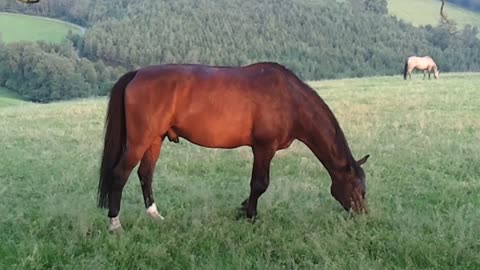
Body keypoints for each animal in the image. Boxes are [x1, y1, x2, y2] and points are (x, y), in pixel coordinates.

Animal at [95, 62, 370, 231]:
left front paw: (242, 208)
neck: (289, 99)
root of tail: (137, 74)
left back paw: (154, 215)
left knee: (145, 174)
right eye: (358, 188)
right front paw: (250, 215)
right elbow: (260, 184)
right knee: (119, 174)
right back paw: (115, 224)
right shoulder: (263, 148)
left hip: (154, 139)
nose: (363, 216)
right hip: (139, 141)